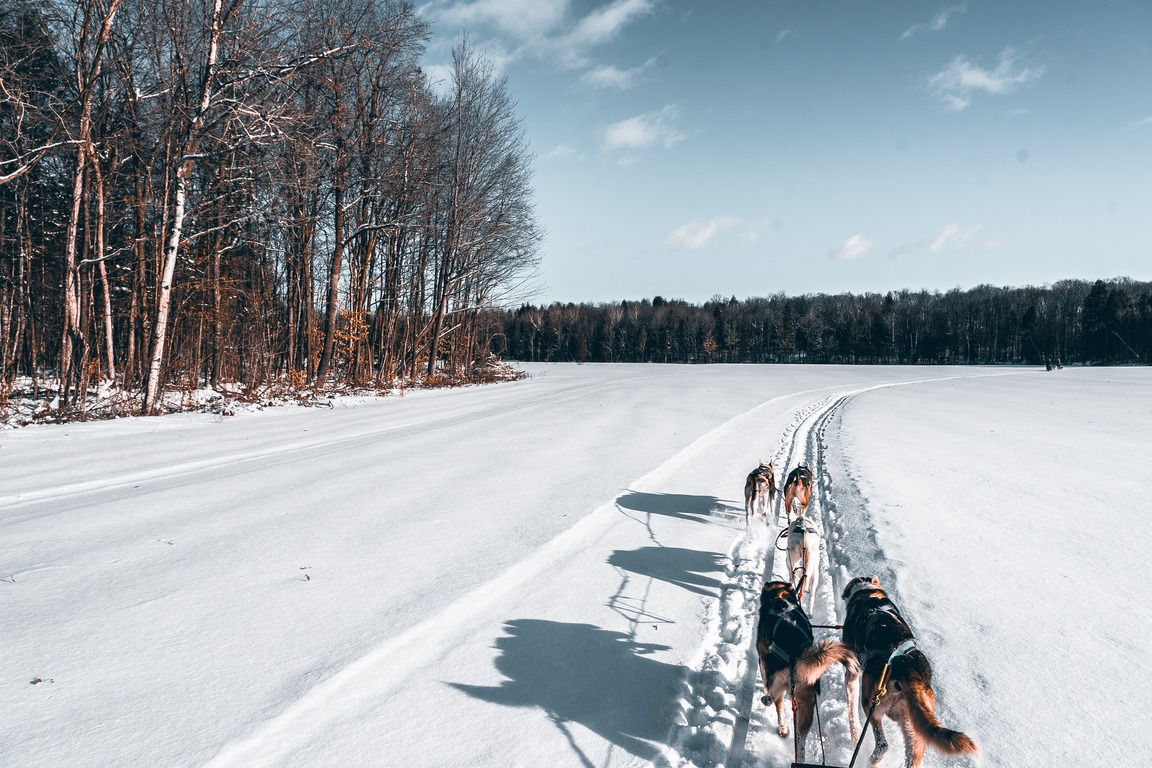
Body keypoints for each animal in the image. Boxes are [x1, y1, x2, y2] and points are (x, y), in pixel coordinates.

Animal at [843, 575, 976, 768]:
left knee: (882, 746)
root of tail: (908, 670)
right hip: (914, 728)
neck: (868, 593)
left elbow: (851, 708)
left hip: (871, 703)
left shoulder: (852, 672)